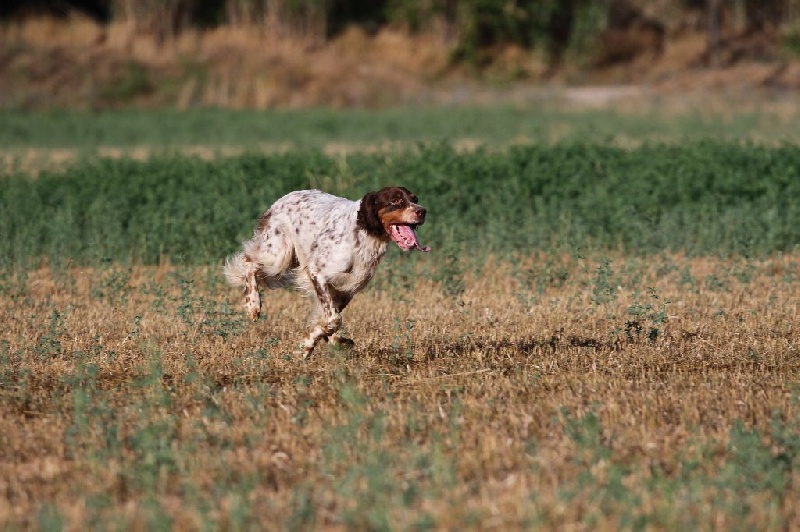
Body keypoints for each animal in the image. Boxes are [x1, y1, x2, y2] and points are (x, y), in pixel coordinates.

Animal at [222, 187, 428, 358]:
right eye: (395, 200)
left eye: (415, 199)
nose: (422, 211)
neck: (364, 234)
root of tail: (281, 200)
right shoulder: (317, 273)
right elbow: (333, 319)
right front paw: (305, 348)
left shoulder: (346, 290)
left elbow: (328, 321)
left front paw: (326, 342)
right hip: (278, 254)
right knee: (249, 262)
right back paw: (253, 305)